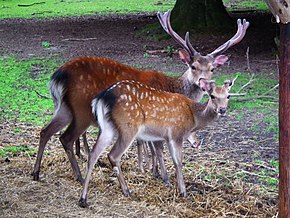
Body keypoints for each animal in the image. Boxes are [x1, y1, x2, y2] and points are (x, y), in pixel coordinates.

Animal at [31, 10, 249, 184]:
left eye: (212, 68)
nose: (204, 83)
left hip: (64, 108)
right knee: (66, 137)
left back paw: (36, 172)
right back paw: (79, 176)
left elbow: (147, 144)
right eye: (193, 66)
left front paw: (148, 170)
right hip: (81, 109)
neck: (174, 87)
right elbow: (155, 148)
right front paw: (158, 174)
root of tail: (58, 76)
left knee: (46, 131)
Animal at [78, 77, 236, 207]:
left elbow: (169, 159)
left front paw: (170, 183)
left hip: (107, 128)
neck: (194, 117)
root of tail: (101, 98)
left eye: (228, 96)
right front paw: (183, 192)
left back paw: (83, 199)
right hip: (128, 126)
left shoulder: (166, 137)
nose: (222, 110)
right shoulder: (176, 134)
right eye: (212, 95)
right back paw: (126, 190)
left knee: (93, 153)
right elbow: (178, 162)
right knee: (113, 155)